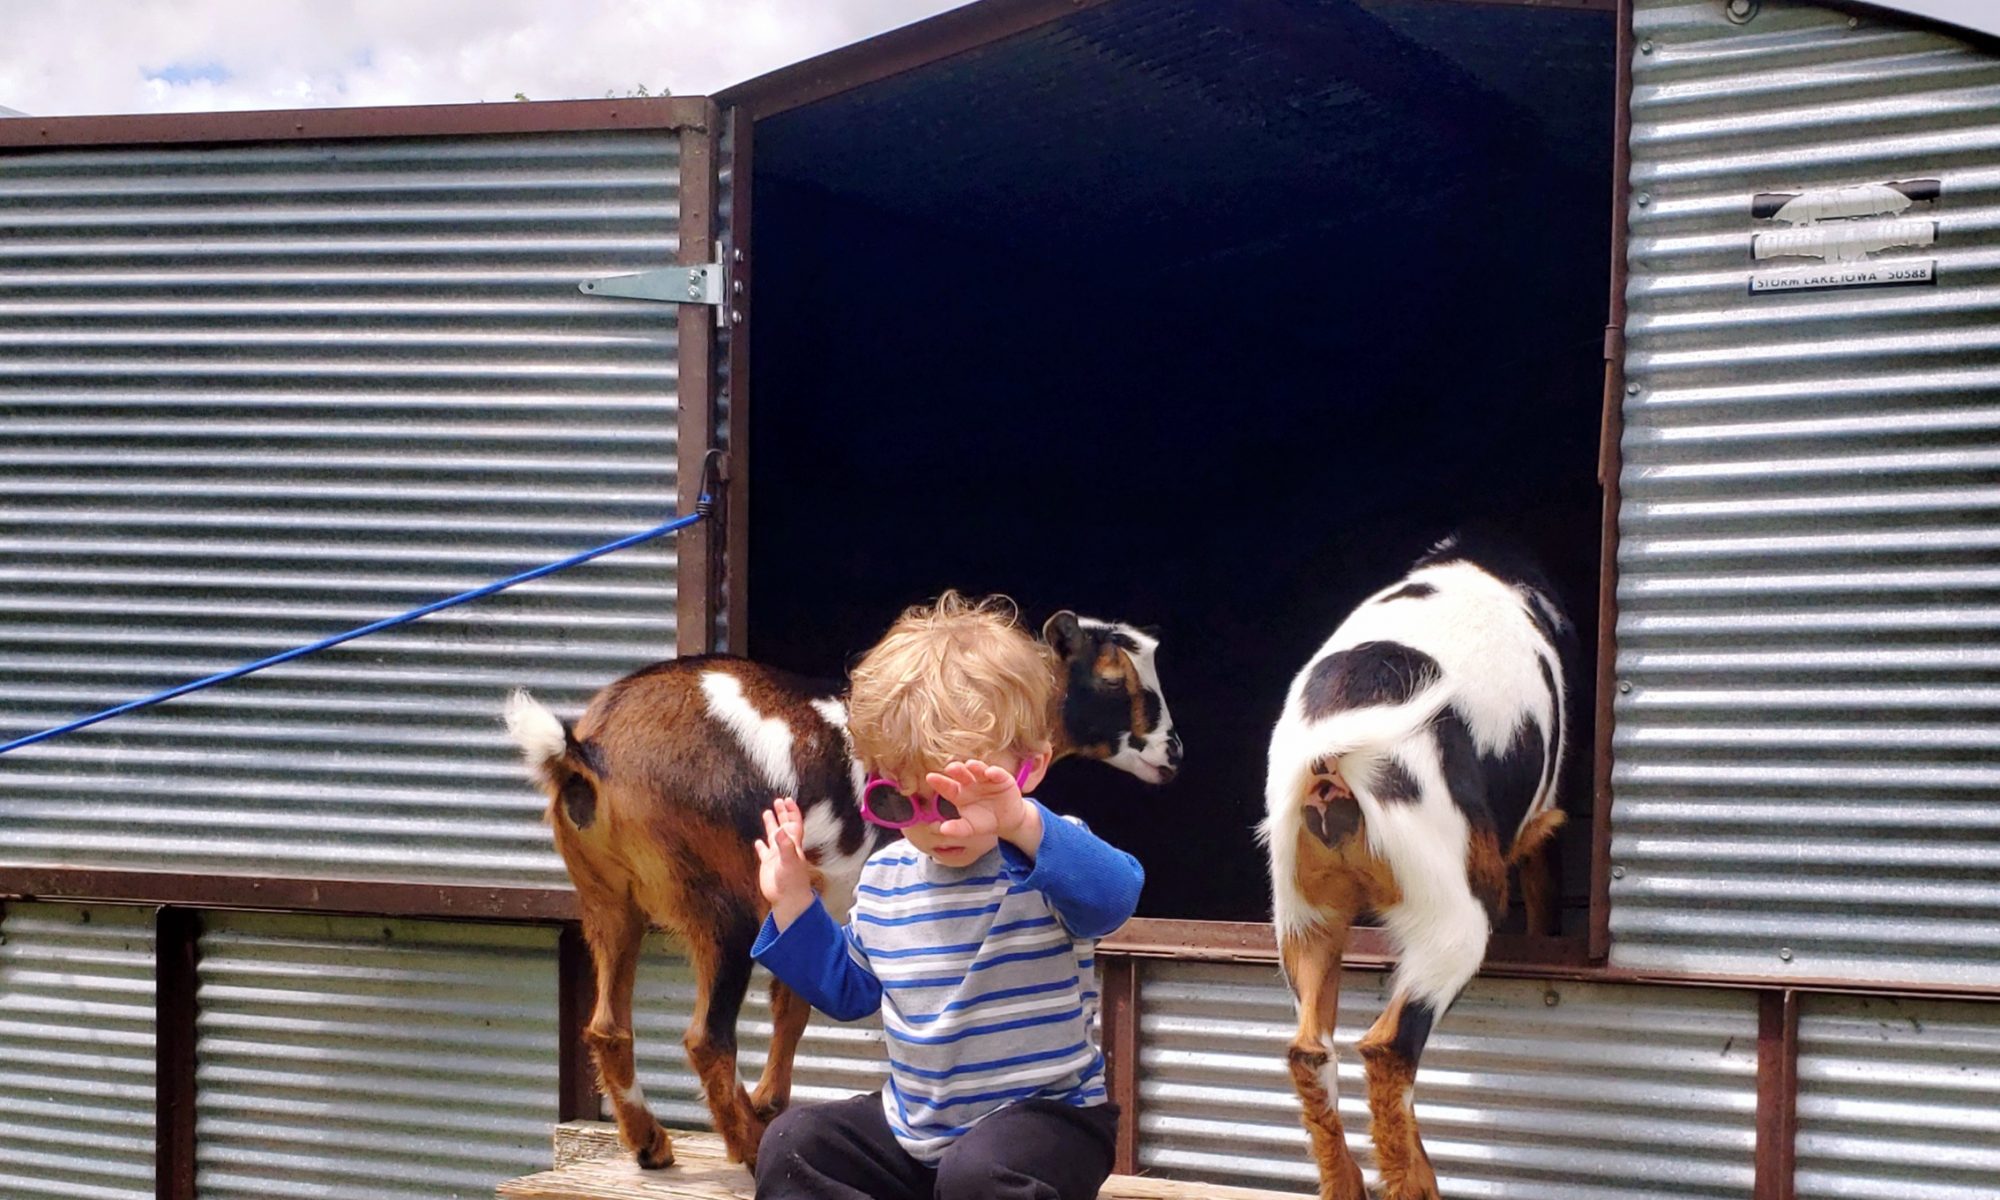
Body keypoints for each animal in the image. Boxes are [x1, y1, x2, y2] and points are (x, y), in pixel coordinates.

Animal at [508, 616, 1176, 1168]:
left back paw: (652, 1144)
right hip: (722, 905)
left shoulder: (818, 901)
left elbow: (794, 1003)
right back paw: (747, 1148)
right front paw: (767, 1111)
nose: (1173, 754)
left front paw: (771, 1100)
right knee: (706, 1037)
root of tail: (585, 751)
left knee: (607, 1026)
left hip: (606, 898)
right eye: (1113, 677)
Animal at [1264, 544, 1576, 1200]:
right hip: (1451, 913)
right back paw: (1419, 1185)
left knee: (1309, 1050)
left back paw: (1347, 1185)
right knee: (1388, 1045)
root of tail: (1332, 763)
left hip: (1300, 914)